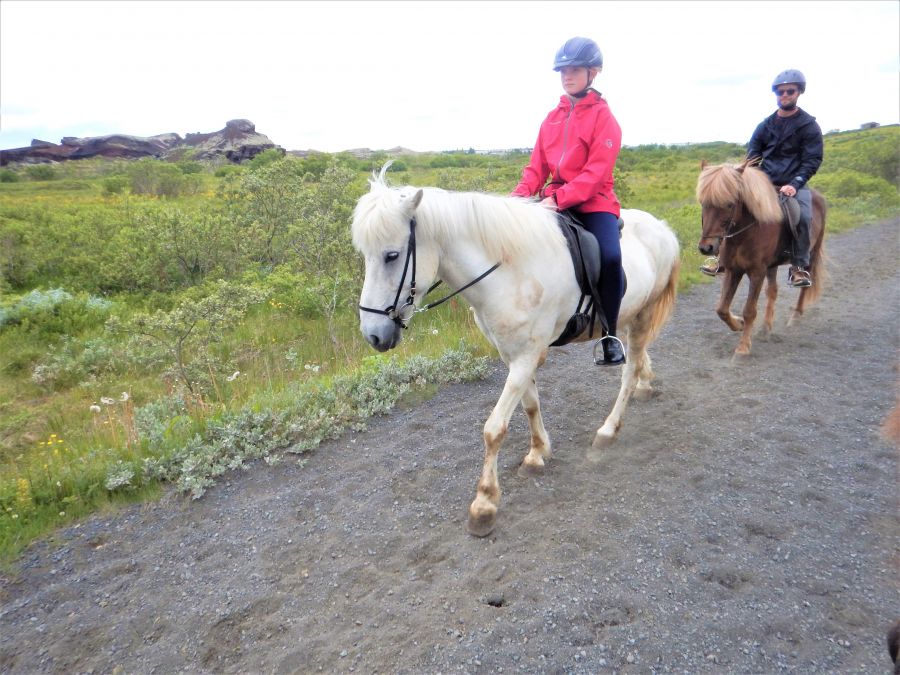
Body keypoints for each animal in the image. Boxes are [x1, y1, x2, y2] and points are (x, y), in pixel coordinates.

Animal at [352, 166, 680, 537]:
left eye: (392, 255)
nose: (373, 334)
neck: (510, 271)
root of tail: (663, 228)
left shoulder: (526, 357)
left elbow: (494, 429)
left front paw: (484, 504)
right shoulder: (513, 355)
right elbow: (530, 406)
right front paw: (538, 454)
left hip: (642, 316)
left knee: (628, 370)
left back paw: (609, 429)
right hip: (627, 316)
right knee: (638, 360)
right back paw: (645, 385)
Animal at [696, 159, 827, 356]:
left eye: (729, 204)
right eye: (703, 203)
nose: (706, 247)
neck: (746, 232)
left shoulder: (757, 272)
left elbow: (749, 310)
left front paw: (742, 348)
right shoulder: (734, 270)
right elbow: (722, 309)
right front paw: (739, 324)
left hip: (811, 253)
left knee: (804, 286)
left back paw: (796, 314)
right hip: (772, 266)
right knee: (772, 290)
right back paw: (766, 328)